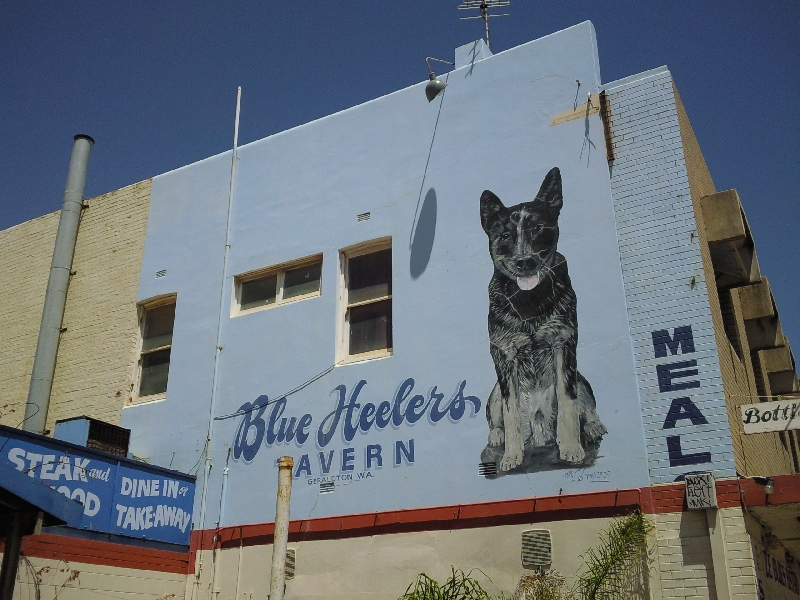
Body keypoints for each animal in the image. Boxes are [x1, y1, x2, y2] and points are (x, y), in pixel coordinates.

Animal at [482, 166, 608, 472]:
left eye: (538, 228)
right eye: (505, 235)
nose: (524, 262)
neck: (529, 302)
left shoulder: (563, 344)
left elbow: (568, 402)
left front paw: (571, 448)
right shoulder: (504, 354)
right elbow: (511, 410)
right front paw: (511, 455)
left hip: (581, 377)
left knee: (586, 406)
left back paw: (593, 426)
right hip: (494, 391)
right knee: (498, 417)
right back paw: (497, 435)